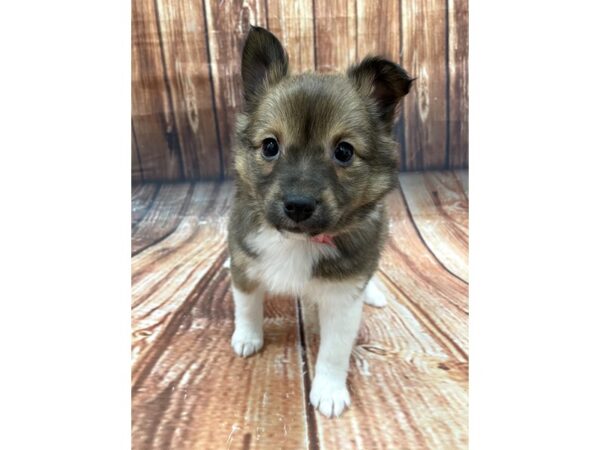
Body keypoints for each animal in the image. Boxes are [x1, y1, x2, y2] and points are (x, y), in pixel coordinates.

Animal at [226, 25, 412, 418]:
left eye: (343, 151)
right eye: (270, 146)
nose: (298, 206)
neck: (298, 241)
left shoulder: (343, 299)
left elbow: (334, 351)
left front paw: (328, 391)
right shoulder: (246, 262)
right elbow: (247, 306)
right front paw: (247, 338)